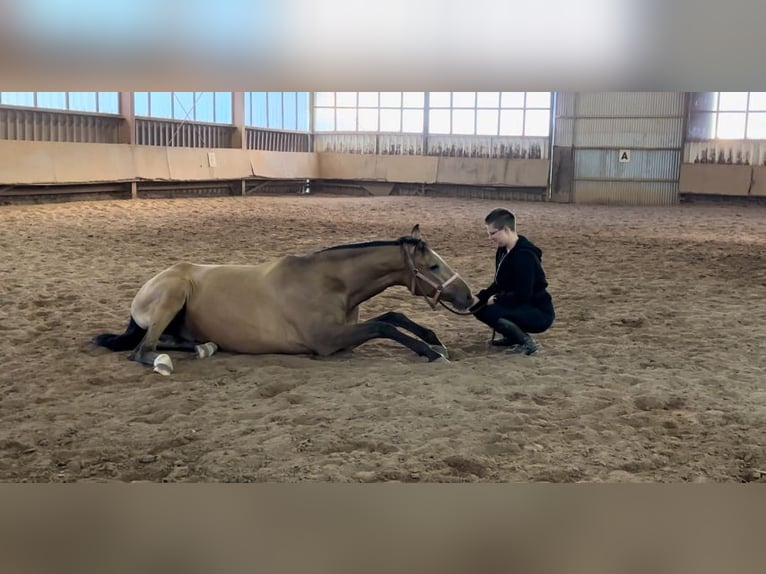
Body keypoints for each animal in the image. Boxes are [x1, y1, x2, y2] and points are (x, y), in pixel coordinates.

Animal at [90, 225, 474, 378]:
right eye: (433, 266)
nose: (469, 297)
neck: (329, 283)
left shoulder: (346, 332)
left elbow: (393, 315)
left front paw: (433, 339)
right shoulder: (329, 342)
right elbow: (383, 325)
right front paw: (432, 352)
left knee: (169, 340)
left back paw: (204, 347)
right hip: (174, 294)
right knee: (144, 348)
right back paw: (163, 361)